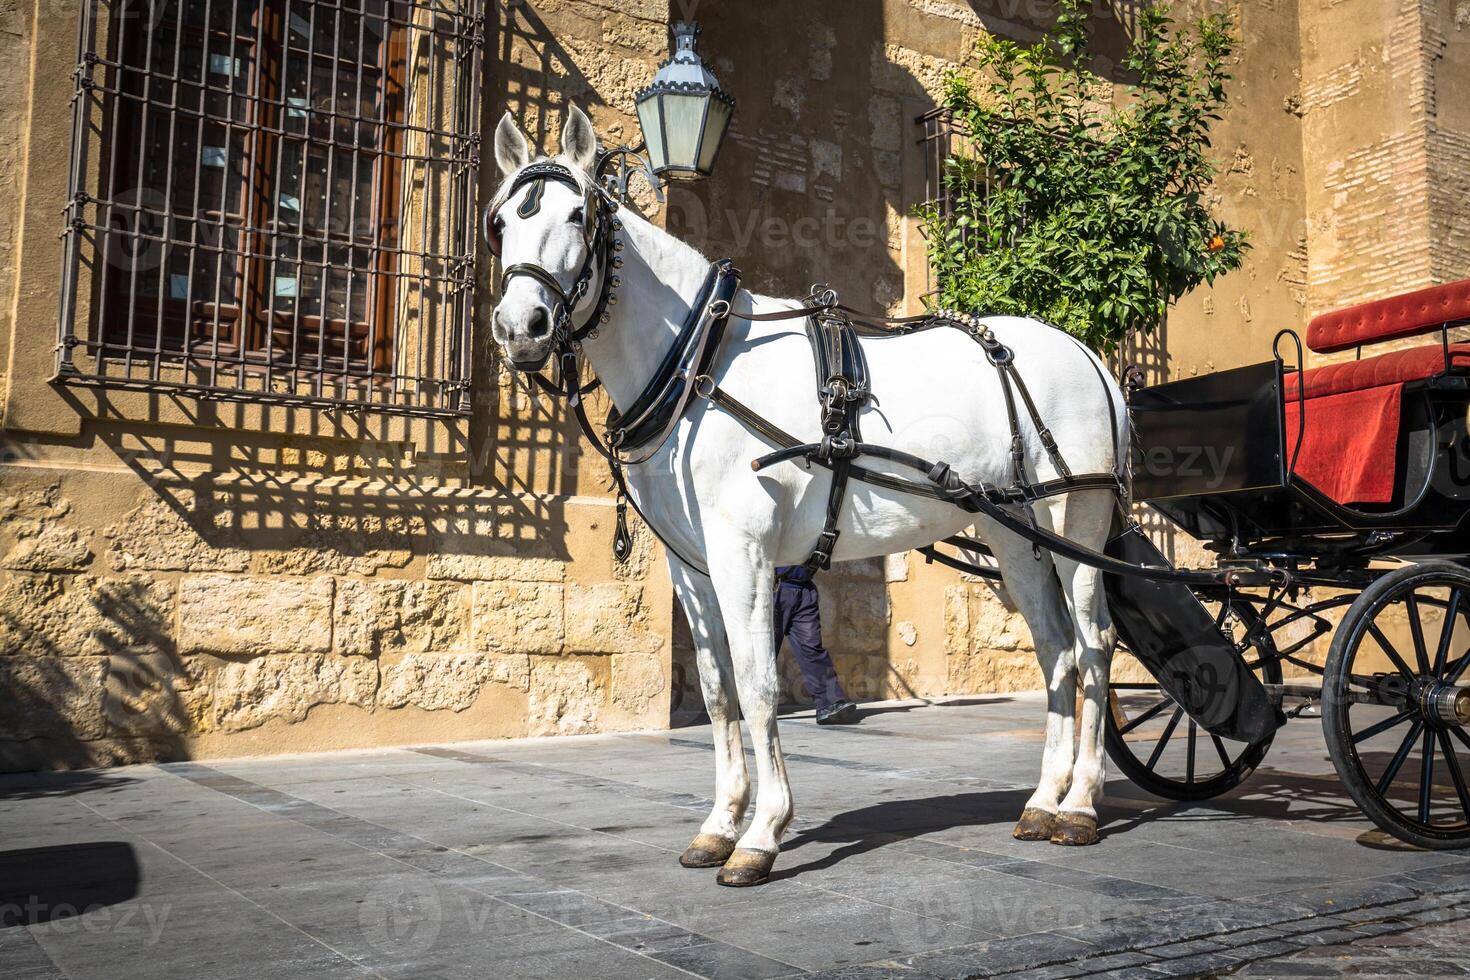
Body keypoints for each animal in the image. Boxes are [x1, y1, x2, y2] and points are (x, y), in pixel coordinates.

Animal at [488, 107, 1117, 887]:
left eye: (578, 214)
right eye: (499, 222)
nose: (520, 328)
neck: (701, 362)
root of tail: (1088, 353)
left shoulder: (744, 551)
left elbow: (759, 685)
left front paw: (761, 833)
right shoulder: (690, 565)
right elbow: (719, 689)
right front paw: (719, 824)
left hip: (1077, 525)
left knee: (1093, 646)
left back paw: (1081, 804)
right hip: (1014, 534)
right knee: (1057, 650)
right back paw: (1042, 800)